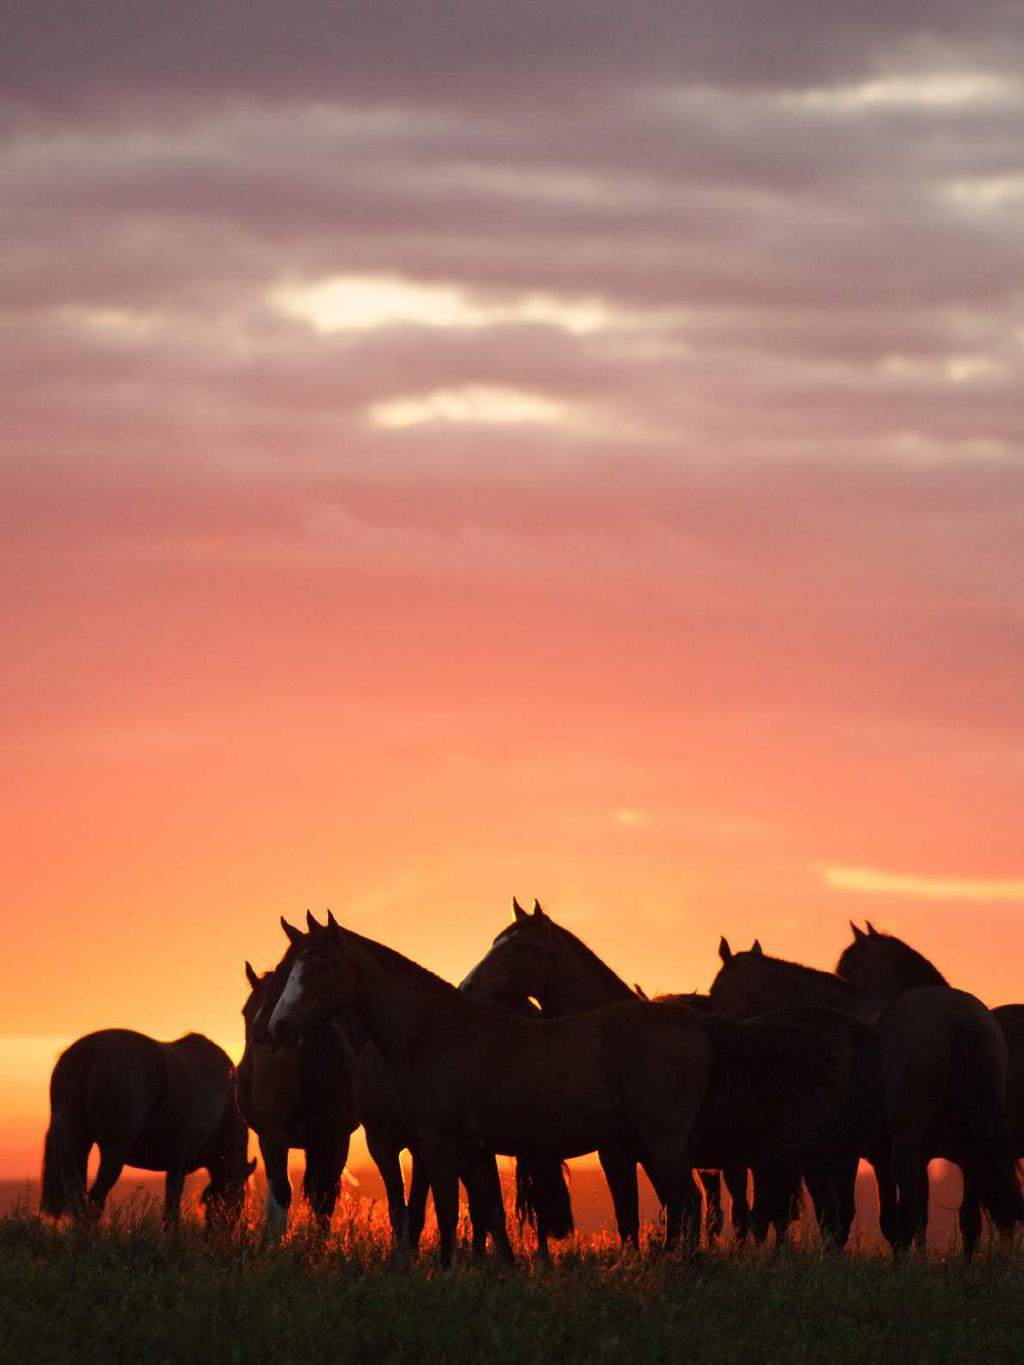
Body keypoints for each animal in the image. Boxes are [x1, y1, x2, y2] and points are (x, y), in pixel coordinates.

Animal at [42, 1026, 255, 1233]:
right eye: (238, 1196)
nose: (220, 1234)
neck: (225, 1105)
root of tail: (87, 1054)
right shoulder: (179, 1165)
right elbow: (171, 1213)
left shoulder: (173, 1166)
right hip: (113, 1154)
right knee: (94, 1203)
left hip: (77, 1147)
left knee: (78, 1200)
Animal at [236, 960, 360, 1239]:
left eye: (246, 1011)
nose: (259, 1035)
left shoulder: (269, 1136)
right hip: (338, 1138)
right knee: (324, 1198)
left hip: (276, 1137)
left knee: (282, 1195)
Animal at [268, 911, 862, 1272]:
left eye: (317, 966)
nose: (277, 1027)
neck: (436, 1032)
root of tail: (699, 1022)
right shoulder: (472, 1150)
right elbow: (488, 1213)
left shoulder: (437, 1146)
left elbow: (445, 1214)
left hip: (665, 1145)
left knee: (690, 1205)